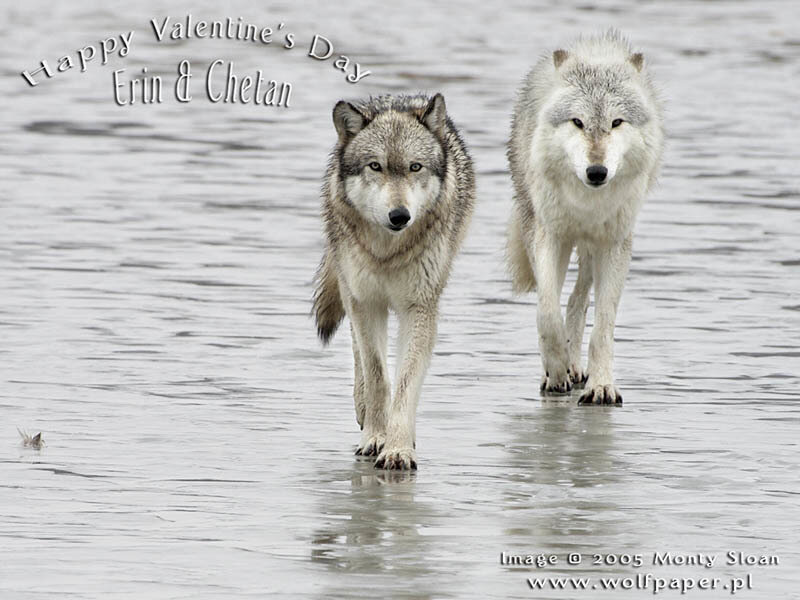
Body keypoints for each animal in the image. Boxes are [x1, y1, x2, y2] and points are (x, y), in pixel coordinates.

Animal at [313, 94, 475, 469]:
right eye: (376, 166)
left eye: (415, 167)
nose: (399, 216)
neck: (387, 252)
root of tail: (395, 99)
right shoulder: (365, 302)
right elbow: (376, 375)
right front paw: (375, 436)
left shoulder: (419, 307)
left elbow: (405, 381)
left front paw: (398, 447)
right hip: (351, 290)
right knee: (358, 353)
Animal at [507, 31, 663, 404]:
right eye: (577, 122)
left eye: (616, 122)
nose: (597, 172)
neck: (587, 201)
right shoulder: (551, 237)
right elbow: (547, 313)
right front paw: (556, 370)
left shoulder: (615, 244)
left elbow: (603, 324)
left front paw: (601, 384)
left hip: (592, 248)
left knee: (579, 299)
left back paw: (579, 367)